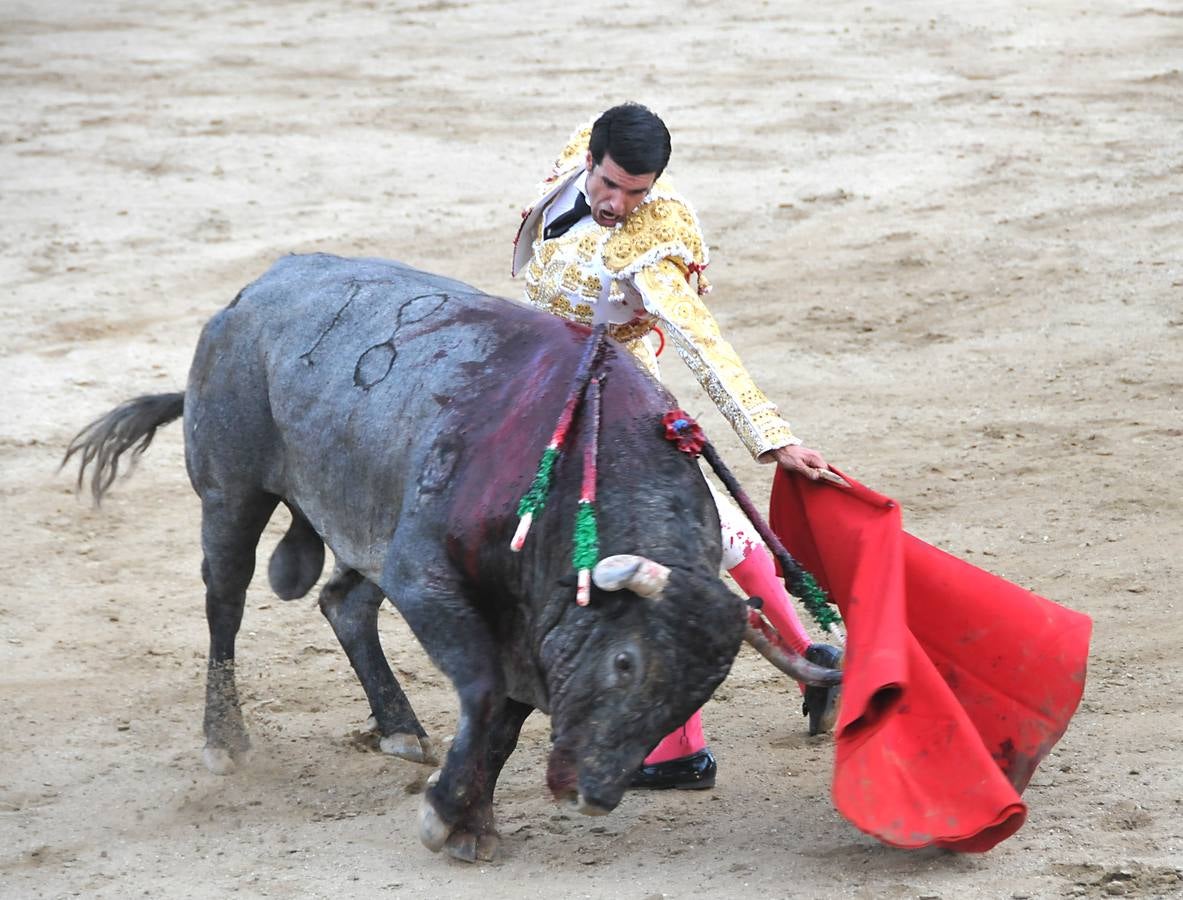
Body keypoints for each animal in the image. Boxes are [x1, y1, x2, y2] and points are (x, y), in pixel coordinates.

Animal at [67, 254, 842, 865]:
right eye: (626, 663)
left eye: (695, 695)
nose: (591, 797)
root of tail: (247, 295)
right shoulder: (425, 577)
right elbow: (484, 693)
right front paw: (445, 816)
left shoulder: (529, 626)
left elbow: (503, 723)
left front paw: (469, 824)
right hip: (232, 492)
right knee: (224, 602)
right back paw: (226, 741)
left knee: (343, 603)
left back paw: (400, 728)